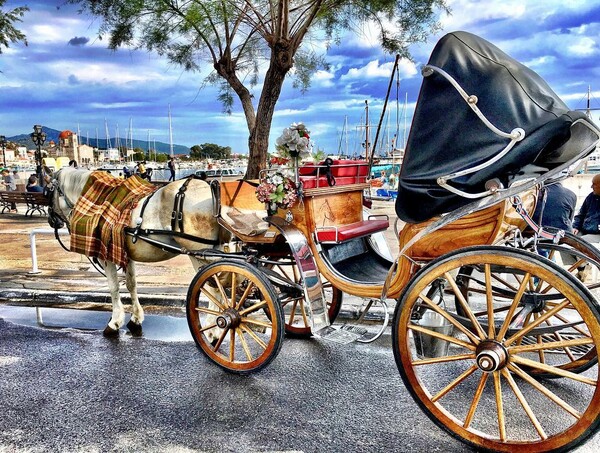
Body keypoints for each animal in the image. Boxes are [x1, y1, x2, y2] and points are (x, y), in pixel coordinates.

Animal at [44, 166, 223, 336]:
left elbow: (114, 286)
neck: (97, 200)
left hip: (200, 255)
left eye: (47, 193)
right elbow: (131, 284)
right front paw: (136, 318)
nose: (52, 221)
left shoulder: (106, 256)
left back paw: (212, 329)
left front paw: (115, 322)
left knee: (214, 288)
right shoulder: (125, 254)